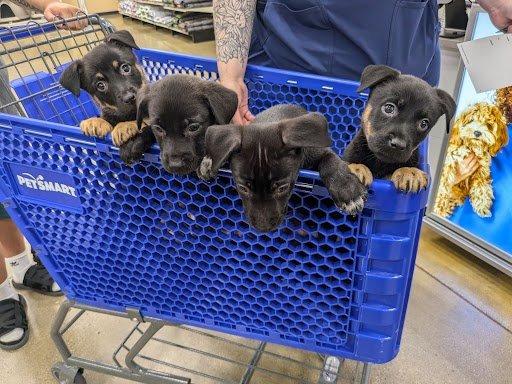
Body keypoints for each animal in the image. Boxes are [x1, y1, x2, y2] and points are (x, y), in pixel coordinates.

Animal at [197, 103, 368, 232]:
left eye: (282, 188)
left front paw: (347, 190)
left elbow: (330, 160)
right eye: (242, 188)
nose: (263, 228)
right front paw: (209, 161)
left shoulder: (318, 150)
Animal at [344, 65, 456, 195]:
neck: (380, 162)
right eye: (388, 108)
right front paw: (356, 168)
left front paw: (409, 172)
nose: (397, 145)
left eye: (424, 124)